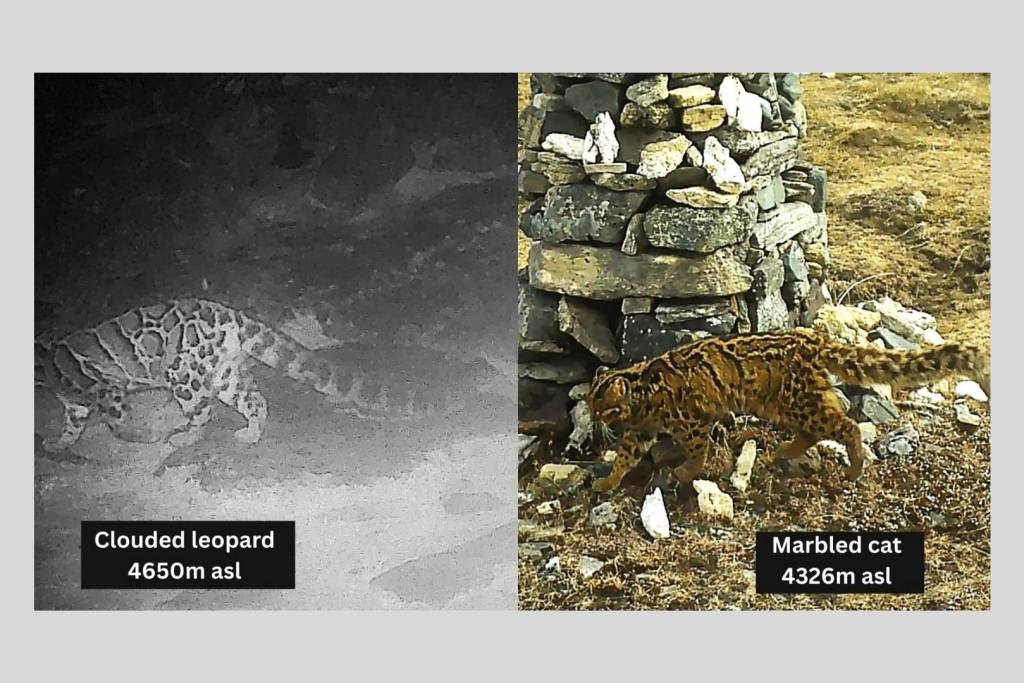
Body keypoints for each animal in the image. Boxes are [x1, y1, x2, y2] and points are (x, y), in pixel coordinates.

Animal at [34, 298, 463, 452]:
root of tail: (226, 311)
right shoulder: (74, 404)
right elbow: (72, 424)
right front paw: (58, 443)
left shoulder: (105, 390)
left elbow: (115, 421)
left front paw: (137, 436)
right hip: (224, 374)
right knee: (256, 400)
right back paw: (251, 434)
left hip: (185, 377)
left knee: (202, 412)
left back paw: (185, 436)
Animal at [586, 327, 989, 493]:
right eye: (589, 403)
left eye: (600, 408)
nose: (592, 419)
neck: (640, 393)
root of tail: (815, 337)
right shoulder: (640, 432)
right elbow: (625, 457)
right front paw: (607, 482)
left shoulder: (692, 422)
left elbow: (698, 452)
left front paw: (685, 472)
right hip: (788, 403)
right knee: (815, 431)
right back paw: (782, 452)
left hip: (799, 401)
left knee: (846, 425)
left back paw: (854, 468)